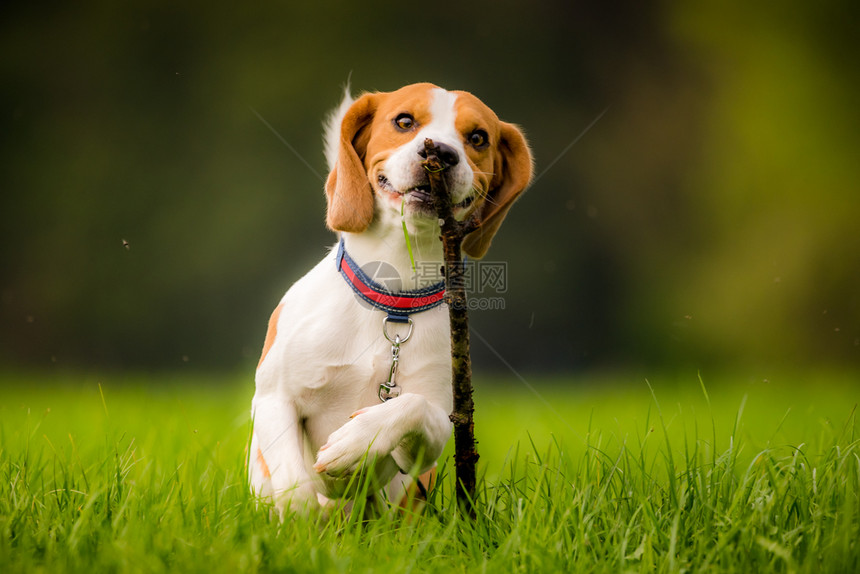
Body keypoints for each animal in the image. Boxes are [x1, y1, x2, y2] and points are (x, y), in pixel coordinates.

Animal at [249, 83, 532, 516]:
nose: (442, 153)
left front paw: (357, 440)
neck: (392, 298)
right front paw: (305, 512)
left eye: (478, 138)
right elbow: (297, 491)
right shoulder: (272, 398)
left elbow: (413, 407)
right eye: (404, 121)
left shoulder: (429, 439)